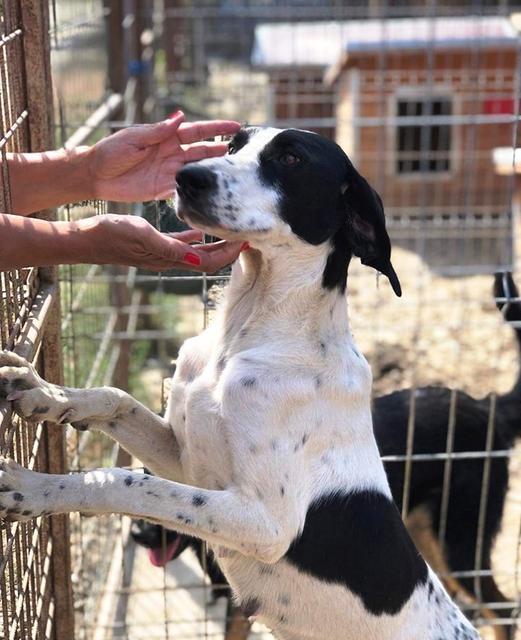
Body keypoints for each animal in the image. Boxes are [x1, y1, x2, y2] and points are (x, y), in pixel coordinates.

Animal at [0, 126, 478, 640]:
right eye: (233, 145)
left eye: (290, 159)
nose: (187, 176)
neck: (244, 331)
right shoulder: (189, 463)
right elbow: (116, 399)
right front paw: (43, 391)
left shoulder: (264, 524)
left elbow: (126, 482)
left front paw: (33, 488)